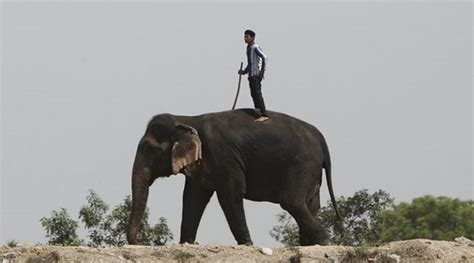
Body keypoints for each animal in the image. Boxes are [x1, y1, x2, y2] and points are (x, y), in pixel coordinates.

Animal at [126, 110, 340, 248]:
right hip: (311, 169)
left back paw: (324, 243)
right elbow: (193, 198)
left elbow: (230, 194)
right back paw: (310, 244)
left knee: (292, 201)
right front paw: (186, 243)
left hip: (302, 163)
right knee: (311, 204)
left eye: (149, 149)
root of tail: (321, 138)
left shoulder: (224, 156)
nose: (143, 242)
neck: (187, 119)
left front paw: (247, 244)